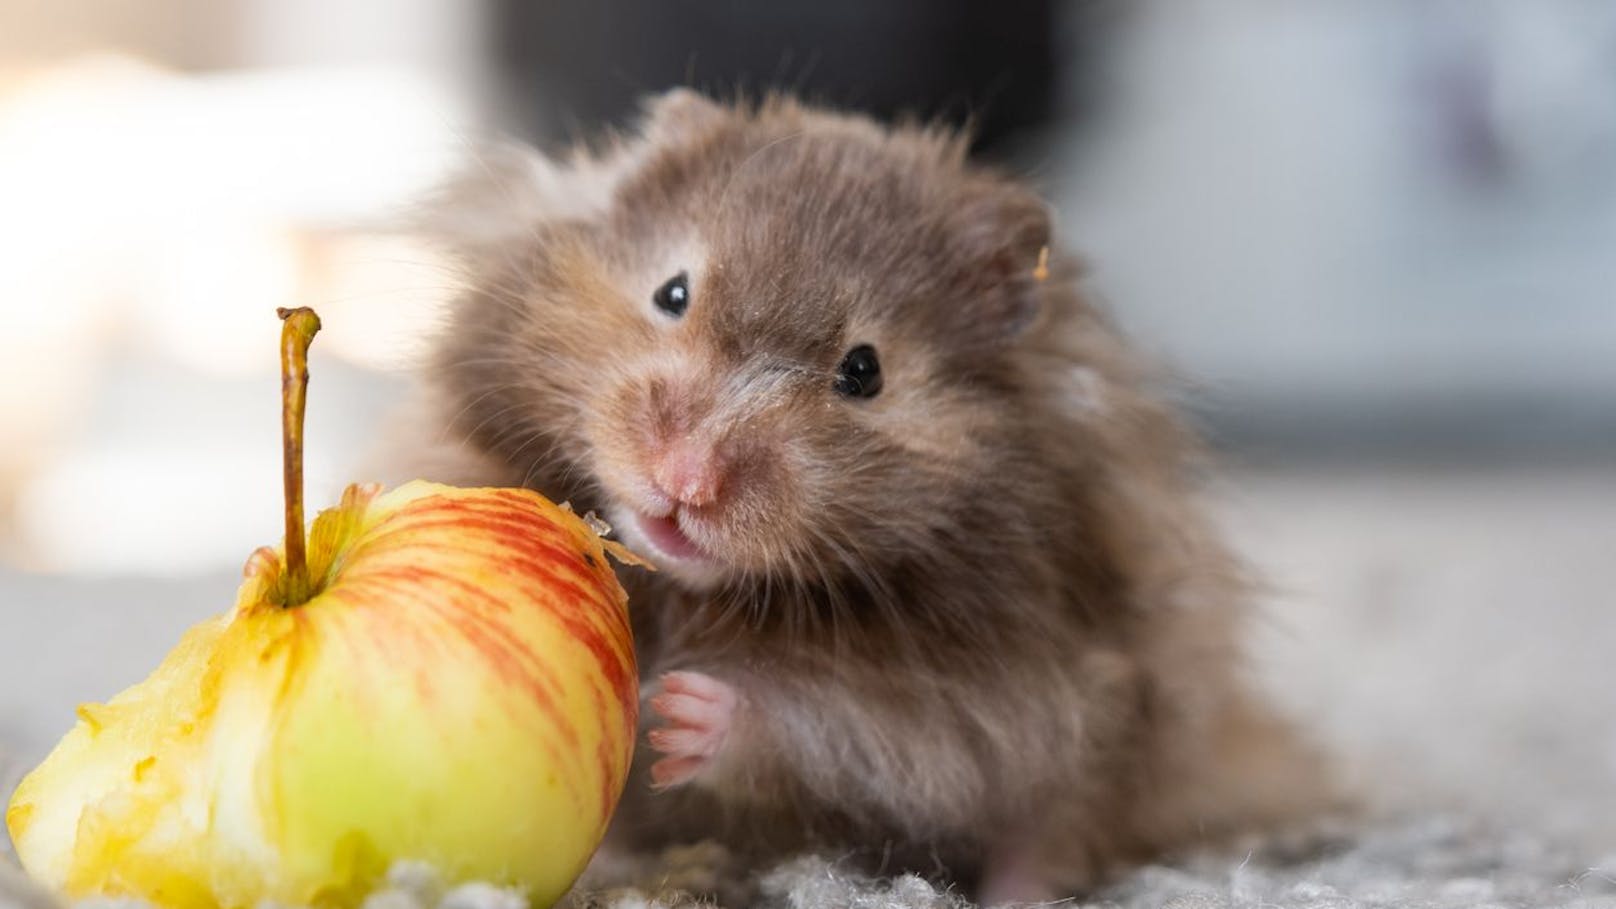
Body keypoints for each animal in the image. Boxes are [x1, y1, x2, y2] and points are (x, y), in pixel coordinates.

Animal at [387, 92, 1325, 899]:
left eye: (864, 371)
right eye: (672, 292)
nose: (685, 480)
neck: (698, 591)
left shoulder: (974, 698)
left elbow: (824, 721)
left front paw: (677, 711)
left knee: (1057, 828)